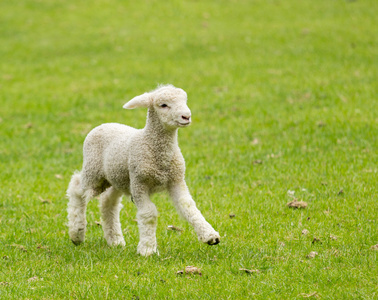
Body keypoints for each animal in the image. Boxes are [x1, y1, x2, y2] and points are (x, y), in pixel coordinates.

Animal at [67, 84, 221, 255]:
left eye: (184, 100)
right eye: (163, 105)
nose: (186, 116)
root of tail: (102, 125)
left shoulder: (176, 179)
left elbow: (188, 206)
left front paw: (210, 236)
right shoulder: (139, 183)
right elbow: (149, 214)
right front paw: (147, 249)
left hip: (117, 178)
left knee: (108, 202)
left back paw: (115, 240)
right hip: (94, 172)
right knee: (76, 188)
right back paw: (77, 233)